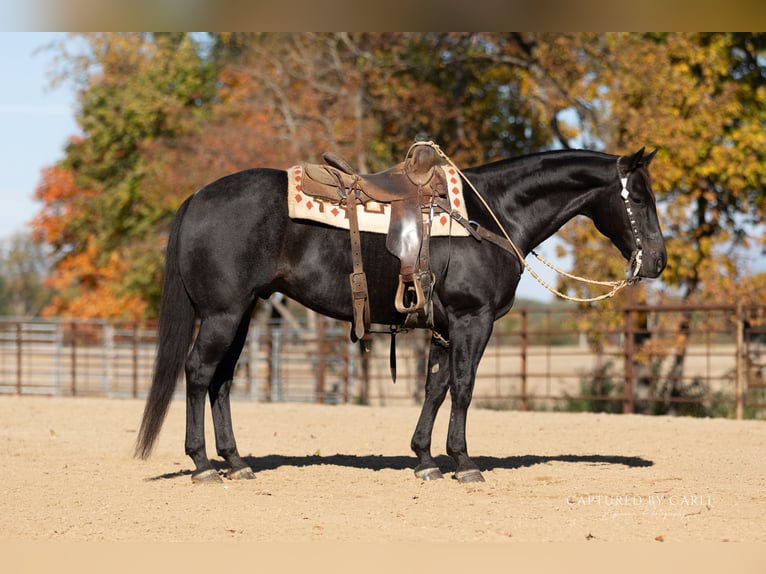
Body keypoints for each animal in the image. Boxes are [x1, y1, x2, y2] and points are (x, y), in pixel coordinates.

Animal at [135, 147, 666, 484]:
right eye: (640, 197)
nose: (658, 262)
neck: (489, 214)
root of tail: (197, 198)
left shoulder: (445, 327)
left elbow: (436, 386)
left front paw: (425, 459)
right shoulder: (473, 320)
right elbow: (464, 387)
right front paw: (463, 462)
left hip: (241, 314)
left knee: (221, 381)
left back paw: (236, 462)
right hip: (222, 315)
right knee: (198, 374)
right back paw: (203, 465)